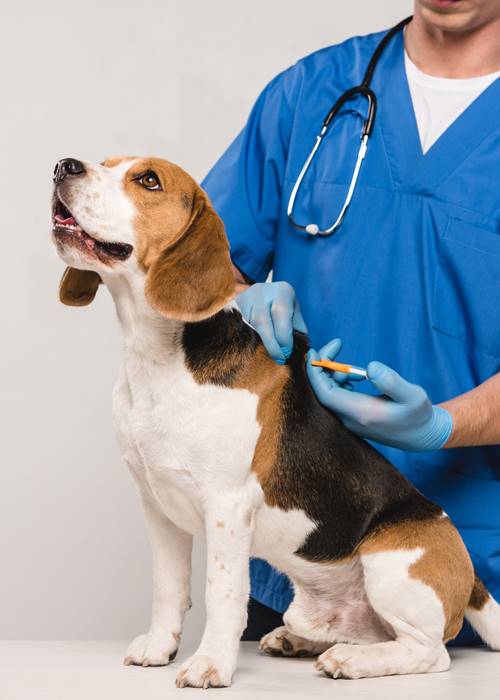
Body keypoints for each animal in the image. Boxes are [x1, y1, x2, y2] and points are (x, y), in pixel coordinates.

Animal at [52, 156, 498, 688]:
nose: (63, 167)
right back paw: (299, 640)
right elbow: (167, 588)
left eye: (148, 181)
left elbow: (222, 594)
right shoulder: (157, 506)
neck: (158, 356)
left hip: (392, 568)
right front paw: (160, 647)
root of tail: (470, 575)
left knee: (430, 652)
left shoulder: (227, 505)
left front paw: (210, 664)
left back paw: (353, 661)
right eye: (105, 163)